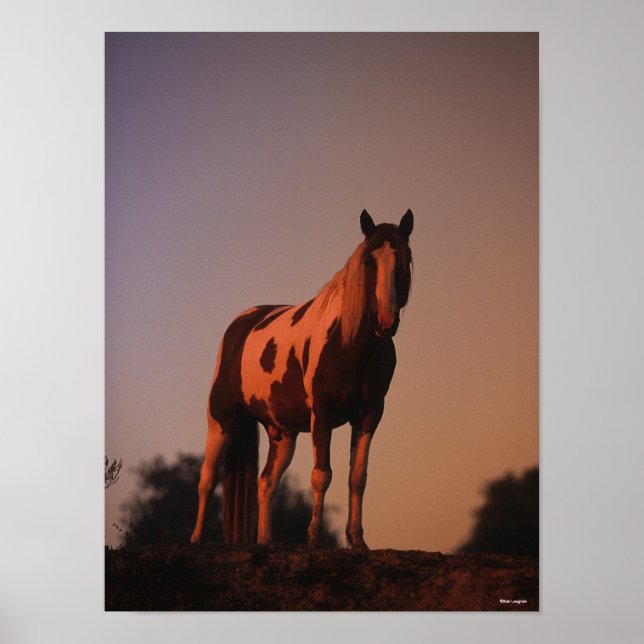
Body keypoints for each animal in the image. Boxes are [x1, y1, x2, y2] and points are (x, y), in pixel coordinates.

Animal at [190, 209, 414, 548]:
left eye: (405, 258)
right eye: (368, 261)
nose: (386, 322)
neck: (348, 342)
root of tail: (241, 324)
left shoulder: (370, 414)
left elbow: (357, 477)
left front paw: (357, 539)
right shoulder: (322, 413)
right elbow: (321, 474)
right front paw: (314, 538)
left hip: (282, 434)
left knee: (266, 483)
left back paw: (265, 540)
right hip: (220, 421)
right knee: (207, 479)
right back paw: (196, 539)